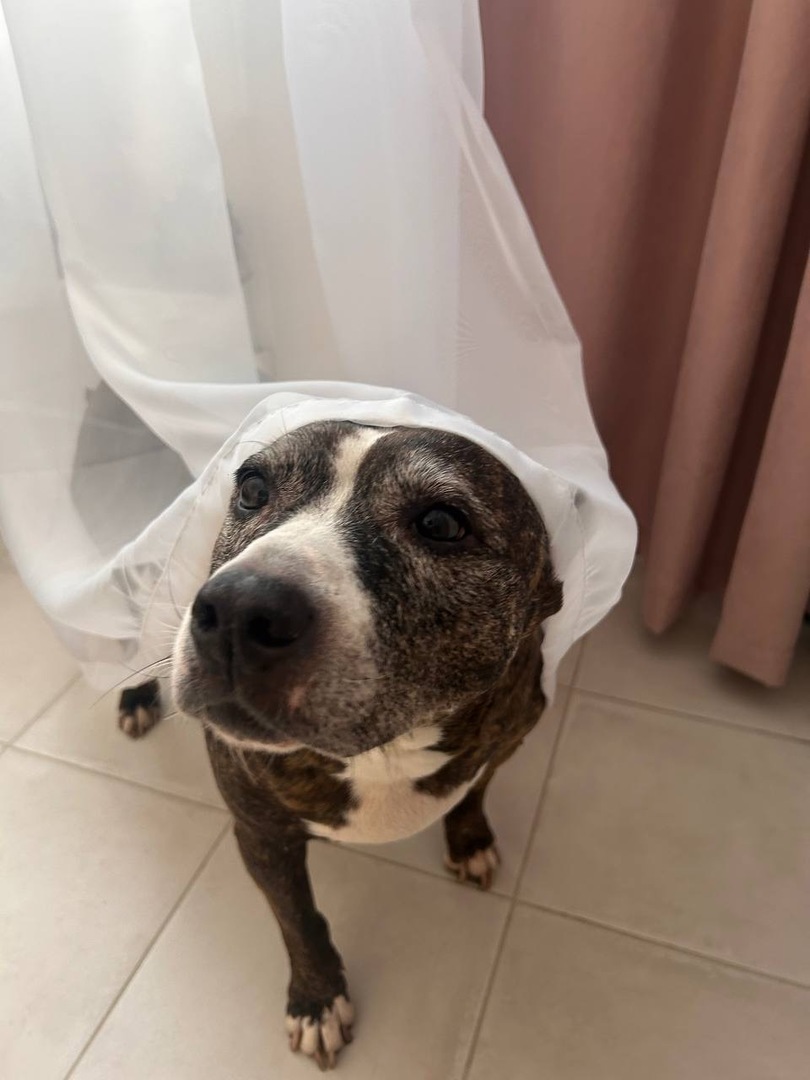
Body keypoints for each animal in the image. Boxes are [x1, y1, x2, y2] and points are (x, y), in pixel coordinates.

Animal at [119, 420, 562, 1069]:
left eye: (441, 524)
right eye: (252, 489)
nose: (239, 608)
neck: (388, 748)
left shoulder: (512, 730)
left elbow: (477, 786)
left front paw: (470, 839)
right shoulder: (261, 833)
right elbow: (298, 920)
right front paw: (318, 1001)